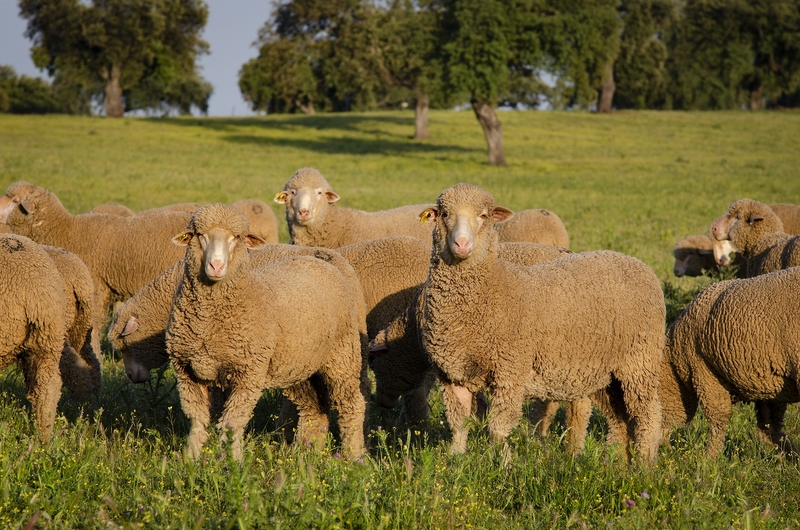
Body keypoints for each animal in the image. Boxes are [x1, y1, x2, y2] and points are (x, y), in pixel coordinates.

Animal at [166, 203, 366, 458]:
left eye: (237, 237)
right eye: (199, 235)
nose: (216, 266)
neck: (208, 323)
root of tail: (321, 261)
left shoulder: (249, 373)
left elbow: (232, 422)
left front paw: (231, 461)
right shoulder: (186, 372)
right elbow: (197, 421)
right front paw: (190, 458)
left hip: (342, 355)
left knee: (351, 404)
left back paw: (353, 456)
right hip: (298, 365)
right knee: (314, 406)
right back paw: (307, 453)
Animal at [412, 184, 664, 460]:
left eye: (484, 216)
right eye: (445, 214)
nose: (462, 244)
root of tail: (636, 263)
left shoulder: (510, 371)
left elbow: (497, 429)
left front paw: (505, 464)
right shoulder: (452, 375)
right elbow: (458, 426)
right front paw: (455, 461)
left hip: (639, 361)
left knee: (648, 415)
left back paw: (645, 463)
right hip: (604, 373)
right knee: (619, 420)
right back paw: (617, 463)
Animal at [660, 266, 800, 456]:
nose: (665, 449)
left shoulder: (705, 372)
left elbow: (719, 419)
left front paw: (709, 458)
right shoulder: (770, 382)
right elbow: (770, 427)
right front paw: (789, 456)